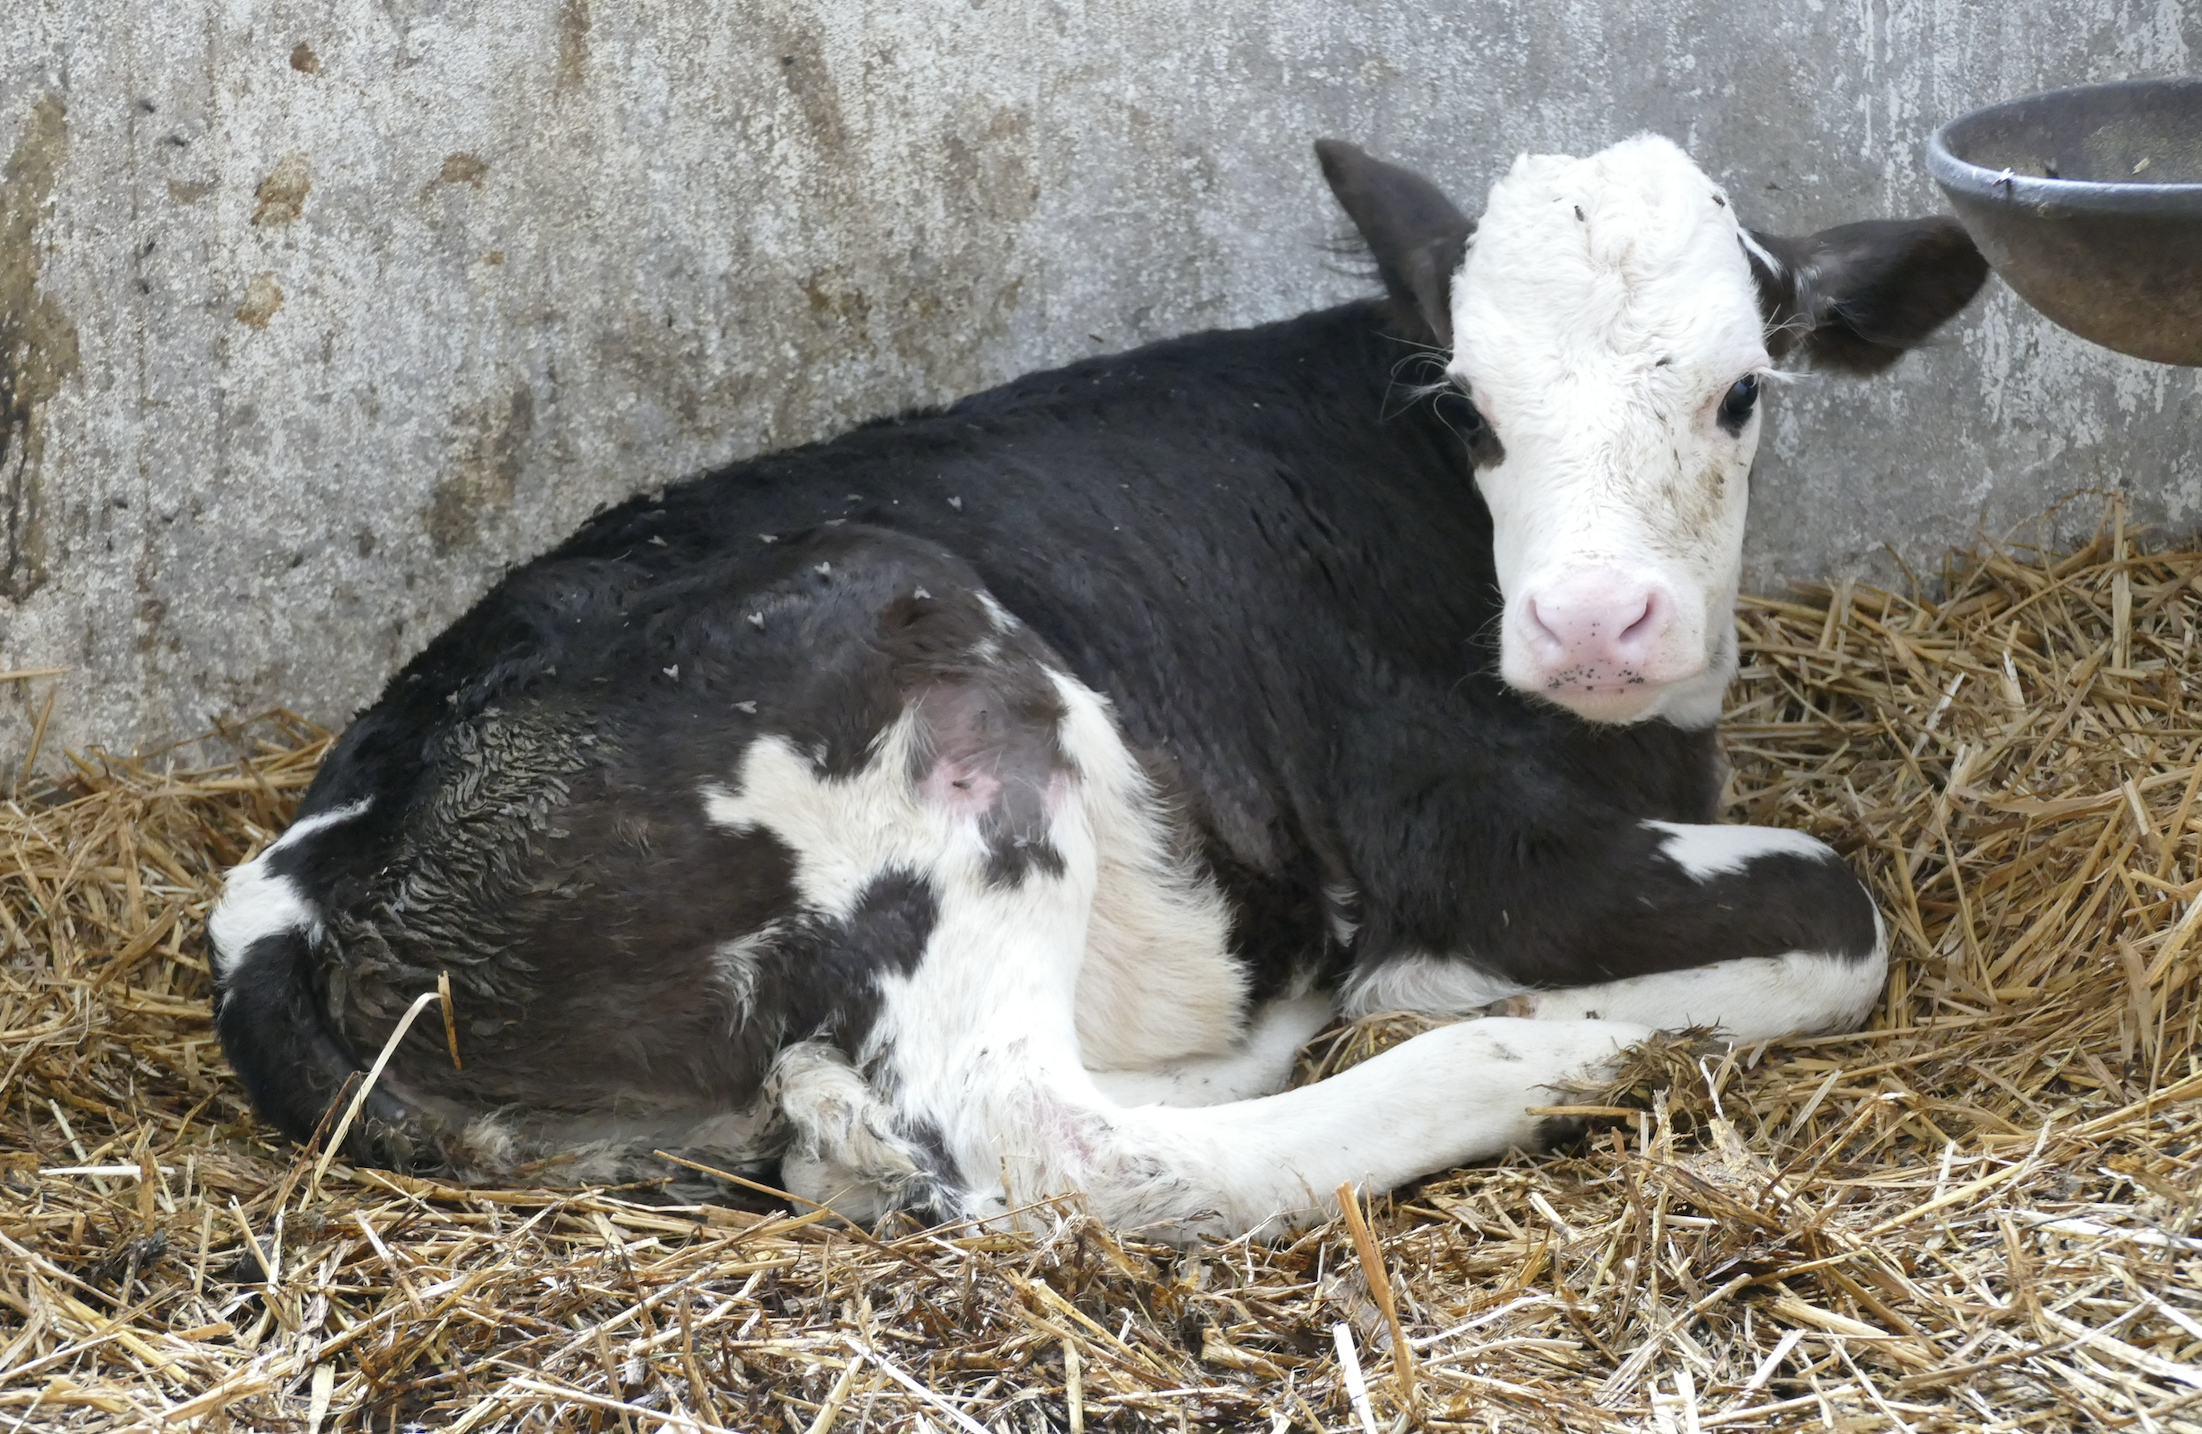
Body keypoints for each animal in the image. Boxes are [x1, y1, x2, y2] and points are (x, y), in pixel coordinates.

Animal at [210, 134, 1999, 1242]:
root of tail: (308, 869)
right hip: (920, 684)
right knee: (1043, 1140)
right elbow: (1839, 913)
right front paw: (1480, 997)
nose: (1589, 626)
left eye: (1740, 390)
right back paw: (1508, 1061)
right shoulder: (1471, 838)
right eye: (1469, 403)